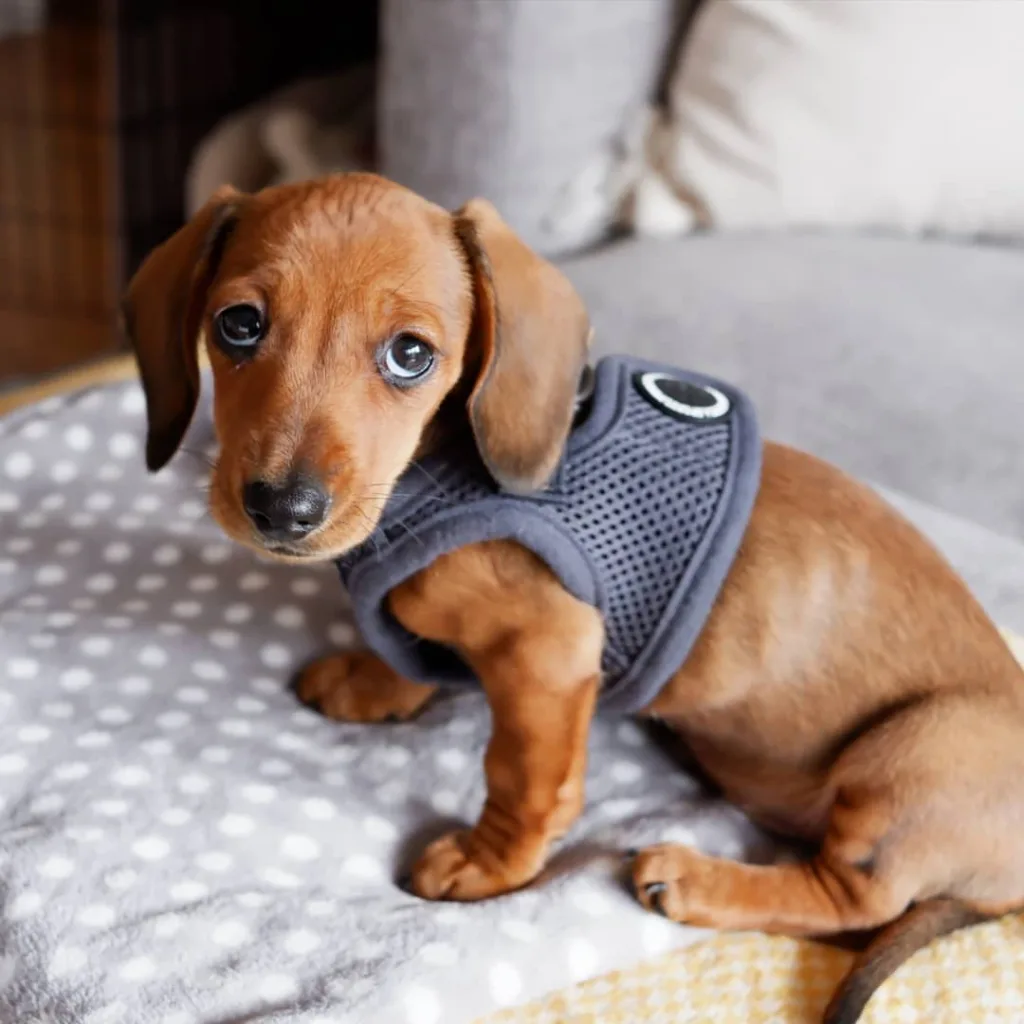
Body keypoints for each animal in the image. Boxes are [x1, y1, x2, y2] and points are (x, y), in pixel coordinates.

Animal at [121, 172, 1024, 1019]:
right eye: (238, 325)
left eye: (411, 355)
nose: (283, 508)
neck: (434, 477)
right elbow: (411, 649)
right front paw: (371, 681)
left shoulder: (546, 656)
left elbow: (524, 778)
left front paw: (488, 863)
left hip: (913, 751)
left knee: (857, 900)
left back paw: (696, 879)